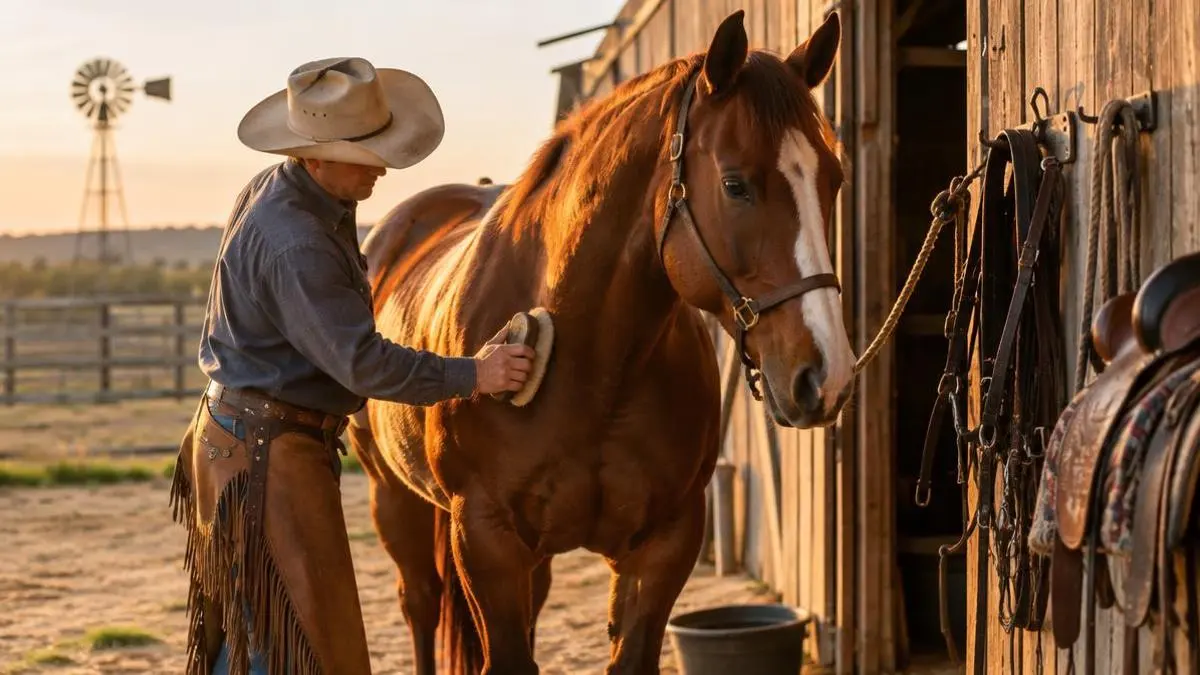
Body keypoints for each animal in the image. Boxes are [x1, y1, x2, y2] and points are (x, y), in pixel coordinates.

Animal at [347, 9, 855, 674]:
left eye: (834, 179)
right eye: (735, 184)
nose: (827, 376)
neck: (589, 361)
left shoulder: (662, 546)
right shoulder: (485, 539)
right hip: (393, 499)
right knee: (420, 605)